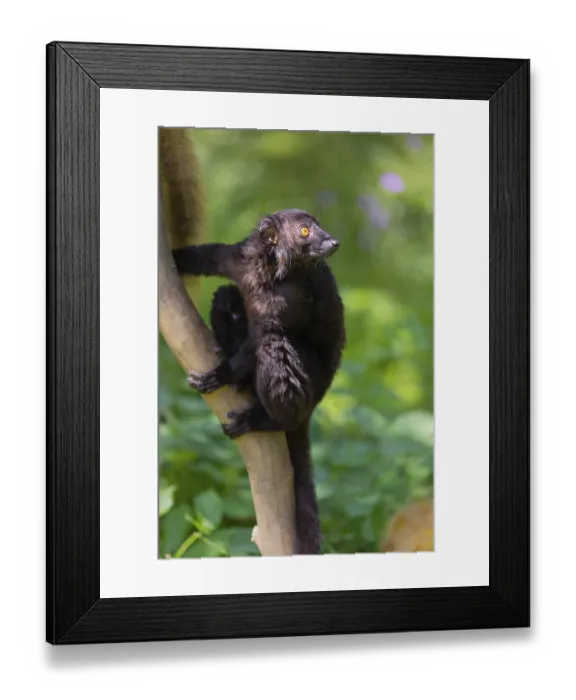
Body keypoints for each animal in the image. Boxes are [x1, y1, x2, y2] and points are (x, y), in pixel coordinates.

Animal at [171, 209, 346, 555]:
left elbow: (264, 335)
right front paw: (172, 257)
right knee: (226, 295)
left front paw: (222, 374)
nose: (333, 242)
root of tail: (315, 403)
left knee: (273, 345)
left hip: (309, 385)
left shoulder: (290, 299)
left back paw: (266, 420)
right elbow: (206, 256)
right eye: (305, 231)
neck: (270, 271)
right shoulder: (240, 259)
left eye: (317, 226)